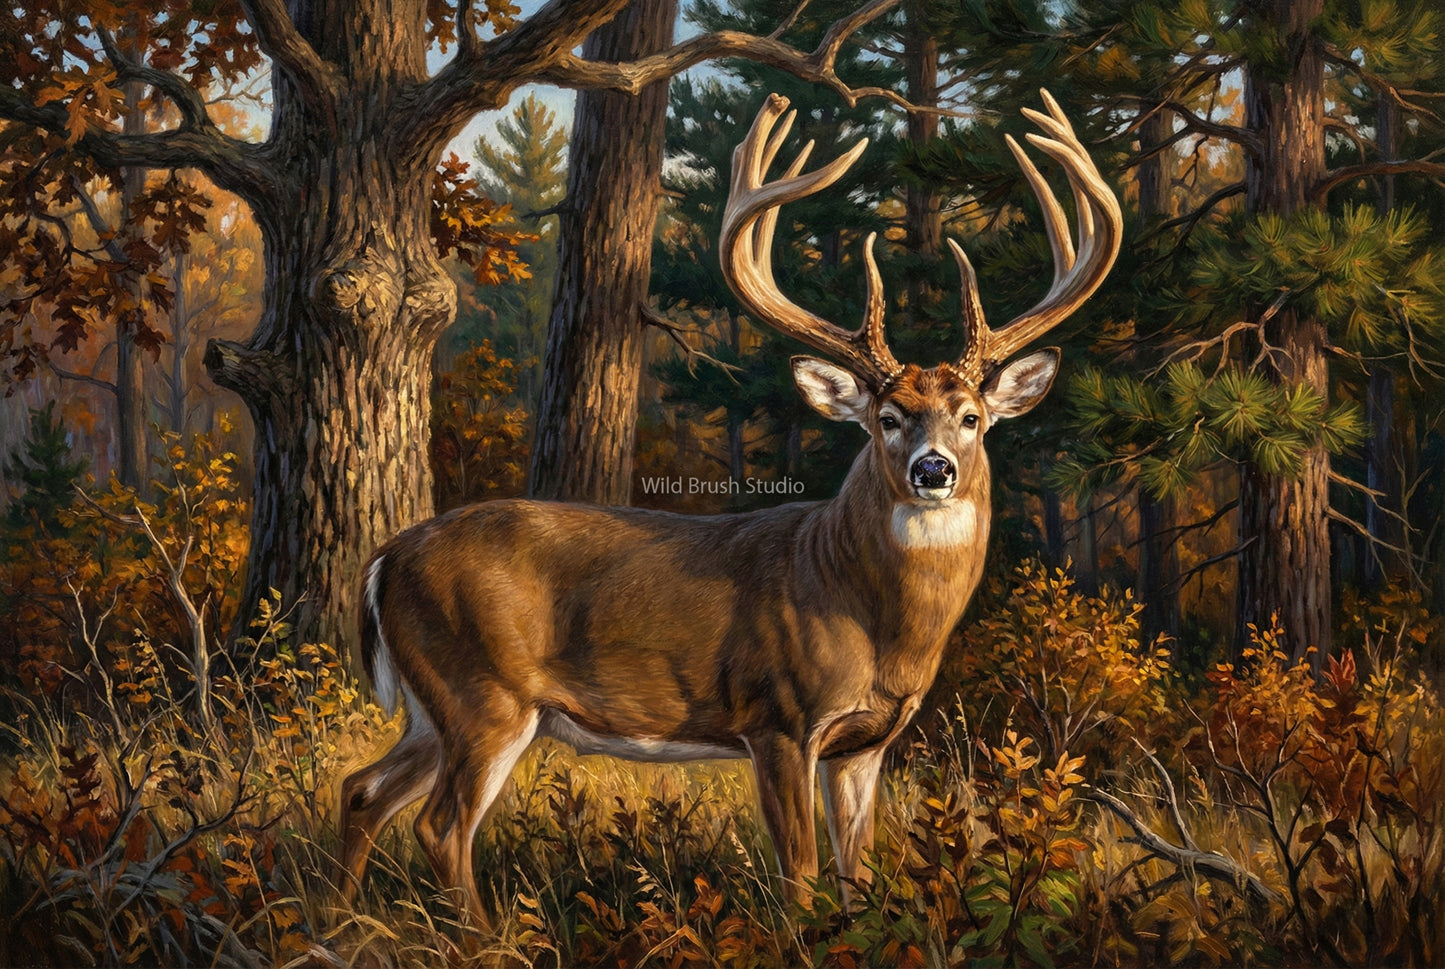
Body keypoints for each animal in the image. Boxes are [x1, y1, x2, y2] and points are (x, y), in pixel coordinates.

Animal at [338, 89, 1121, 929]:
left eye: (971, 417)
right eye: (886, 417)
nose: (933, 468)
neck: (869, 614)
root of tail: (383, 558)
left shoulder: (864, 743)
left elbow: (857, 869)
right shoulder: (776, 715)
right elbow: (800, 870)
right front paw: (802, 937)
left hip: (435, 706)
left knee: (362, 788)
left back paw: (338, 916)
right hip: (483, 693)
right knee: (440, 823)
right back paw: (484, 940)